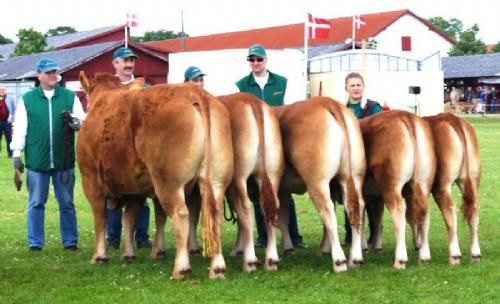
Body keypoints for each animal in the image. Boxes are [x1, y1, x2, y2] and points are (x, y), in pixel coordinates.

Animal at [78, 72, 234, 280]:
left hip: (168, 183)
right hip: (215, 181)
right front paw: (132, 253)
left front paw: (100, 256)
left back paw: (181, 268)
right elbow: (133, 218)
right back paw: (217, 268)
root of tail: (193, 91)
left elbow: (101, 217)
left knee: (181, 214)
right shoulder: (134, 188)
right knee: (214, 213)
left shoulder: (91, 179)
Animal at [426, 113, 480, 264]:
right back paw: (475, 254)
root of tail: (452, 119)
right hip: (472, 178)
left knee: (449, 209)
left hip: (442, 184)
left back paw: (454, 256)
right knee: (474, 208)